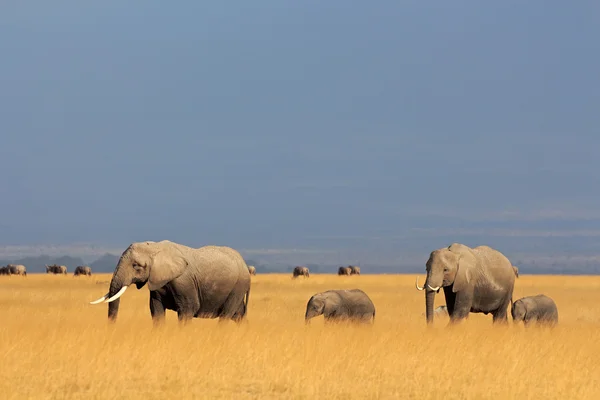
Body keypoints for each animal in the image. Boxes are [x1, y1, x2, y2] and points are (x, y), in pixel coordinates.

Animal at [89, 239, 251, 324]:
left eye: (136, 266)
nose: (112, 328)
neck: (155, 248)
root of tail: (244, 264)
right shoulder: (156, 282)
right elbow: (156, 310)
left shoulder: (184, 282)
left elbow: (187, 309)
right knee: (239, 315)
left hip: (237, 287)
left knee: (226, 315)